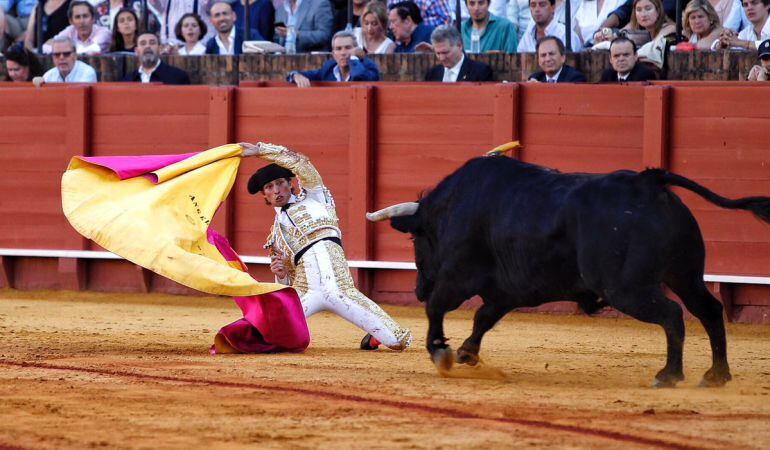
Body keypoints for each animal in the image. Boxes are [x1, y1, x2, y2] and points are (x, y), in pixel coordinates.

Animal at [368, 157, 768, 386]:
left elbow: (437, 308)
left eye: (416, 240)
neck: (451, 207)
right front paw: (467, 352)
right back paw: (716, 375)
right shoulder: (507, 291)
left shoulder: (459, 277)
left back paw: (669, 375)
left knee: (672, 315)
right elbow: (483, 317)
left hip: (628, 288)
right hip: (685, 275)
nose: (416, 288)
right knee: (710, 310)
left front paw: (442, 352)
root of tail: (648, 183)